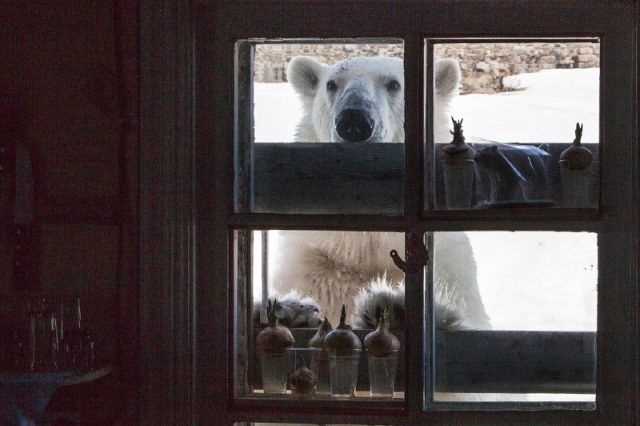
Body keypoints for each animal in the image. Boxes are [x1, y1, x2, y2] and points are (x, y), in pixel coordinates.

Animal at [268, 56, 492, 330]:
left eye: (394, 84)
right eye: (331, 84)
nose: (354, 122)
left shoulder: (448, 266)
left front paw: (394, 307)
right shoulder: (315, 267)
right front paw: (294, 311)